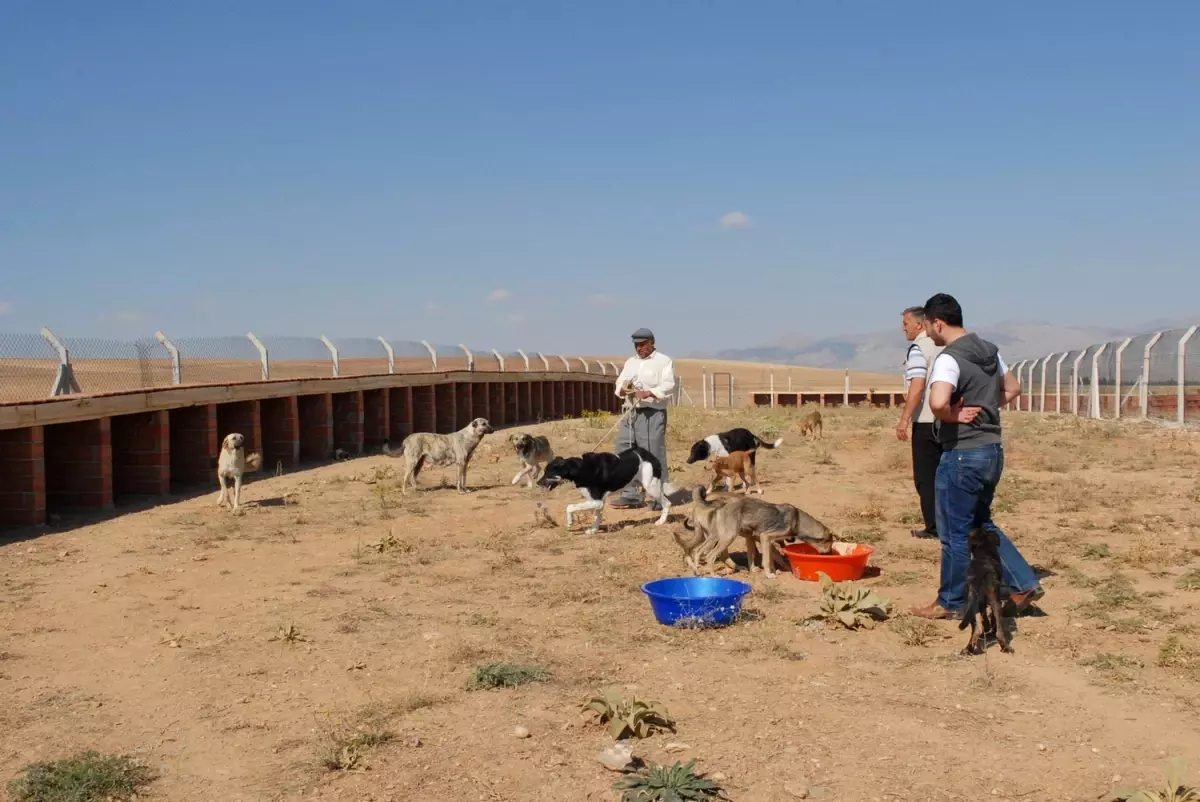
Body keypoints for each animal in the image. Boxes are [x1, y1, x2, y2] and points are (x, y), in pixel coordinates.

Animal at [537, 449, 676, 535]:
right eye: (544, 472)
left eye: (548, 473)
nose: (537, 483)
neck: (580, 468)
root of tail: (650, 456)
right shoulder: (598, 502)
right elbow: (597, 517)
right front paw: (593, 530)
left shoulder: (596, 501)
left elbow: (570, 507)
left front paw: (570, 522)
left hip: (651, 487)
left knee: (667, 503)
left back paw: (661, 521)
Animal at [686, 485, 835, 578]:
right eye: (829, 543)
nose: (829, 555)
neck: (797, 519)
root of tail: (721, 506)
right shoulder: (765, 536)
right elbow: (767, 560)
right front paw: (769, 574)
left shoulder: (763, 539)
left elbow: (772, 557)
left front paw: (774, 571)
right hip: (727, 537)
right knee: (710, 555)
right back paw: (713, 575)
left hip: (715, 536)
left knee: (698, 551)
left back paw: (697, 572)